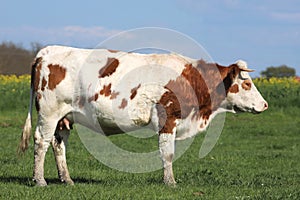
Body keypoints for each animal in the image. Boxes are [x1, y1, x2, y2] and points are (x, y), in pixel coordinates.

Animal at [18, 45, 268, 186]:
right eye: (246, 83)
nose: (265, 105)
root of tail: (46, 51)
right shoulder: (168, 118)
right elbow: (167, 153)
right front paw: (170, 183)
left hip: (64, 118)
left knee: (58, 145)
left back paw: (67, 180)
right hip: (49, 112)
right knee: (41, 141)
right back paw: (40, 180)